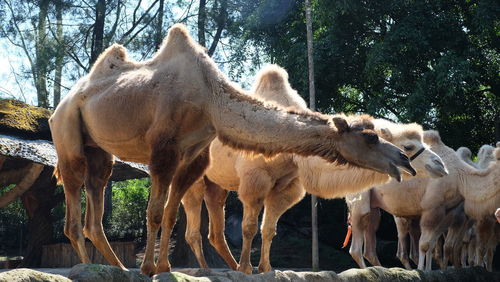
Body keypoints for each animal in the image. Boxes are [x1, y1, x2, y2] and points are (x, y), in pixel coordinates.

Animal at [47, 24, 414, 276]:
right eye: (370, 138)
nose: (405, 161)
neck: (210, 100)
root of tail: (61, 104)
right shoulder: (163, 151)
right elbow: (155, 212)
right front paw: (150, 268)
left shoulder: (194, 158)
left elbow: (170, 213)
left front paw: (164, 267)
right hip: (67, 130)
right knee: (73, 196)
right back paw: (92, 267)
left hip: (99, 150)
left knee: (96, 193)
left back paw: (118, 268)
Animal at [180, 64, 446, 274]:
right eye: (409, 145)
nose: (440, 165)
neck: (294, 149)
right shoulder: (255, 181)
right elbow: (249, 228)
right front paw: (247, 269)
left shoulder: (287, 187)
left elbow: (269, 230)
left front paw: (265, 268)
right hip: (194, 174)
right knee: (193, 223)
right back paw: (207, 269)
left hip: (216, 183)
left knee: (216, 227)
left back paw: (228, 266)